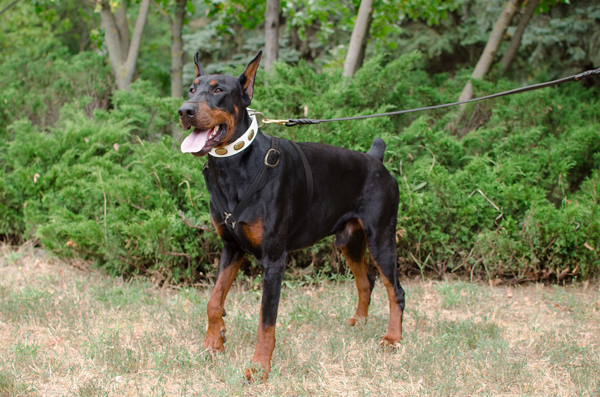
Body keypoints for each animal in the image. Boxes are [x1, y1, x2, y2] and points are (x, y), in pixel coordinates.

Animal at [176, 50, 406, 380]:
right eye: (192, 89)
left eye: (219, 90)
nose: (184, 111)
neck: (235, 165)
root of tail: (376, 159)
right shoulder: (231, 247)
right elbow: (214, 300)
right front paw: (213, 344)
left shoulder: (274, 260)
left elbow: (266, 321)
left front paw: (259, 367)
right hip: (349, 240)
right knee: (367, 281)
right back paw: (359, 321)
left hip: (381, 237)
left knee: (395, 290)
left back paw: (392, 338)